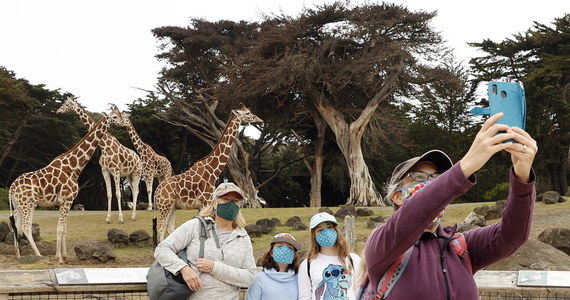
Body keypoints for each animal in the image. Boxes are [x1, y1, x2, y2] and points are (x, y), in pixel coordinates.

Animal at [8, 110, 125, 262]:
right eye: (115, 116)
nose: (124, 122)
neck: (74, 166)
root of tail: (11, 188)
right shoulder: (67, 200)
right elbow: (60, 228)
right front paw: (59, 258)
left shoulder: (65, 202)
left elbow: (64, 228)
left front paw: (64, 255)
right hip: (28, 205)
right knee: (26, 227)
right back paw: (39, 255)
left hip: (18, 206)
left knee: (16, 225)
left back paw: (18, 255)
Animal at [154, 106, 262, 240]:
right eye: (247, 113)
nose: (260, 120)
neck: (212, 170)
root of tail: (156, 192)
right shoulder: (206, 201)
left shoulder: (205, 204)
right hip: (165, 206)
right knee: (161, 228)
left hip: (173, 206)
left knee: (170, 227)